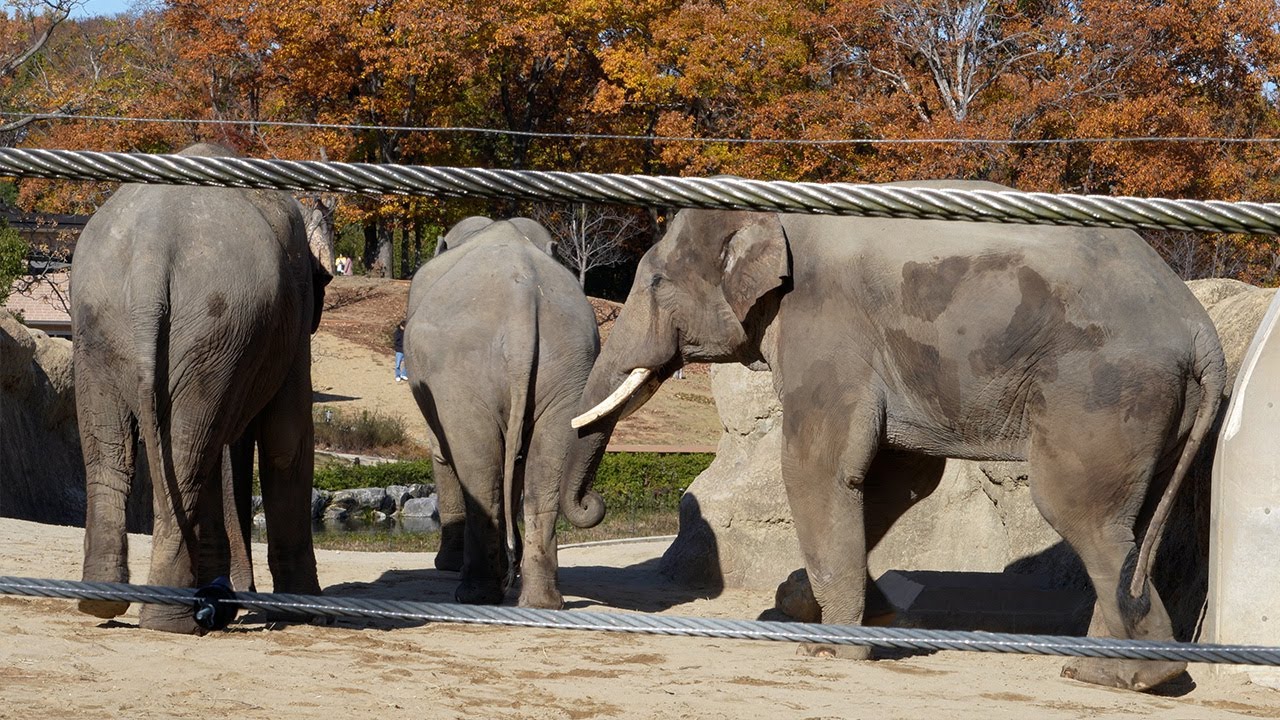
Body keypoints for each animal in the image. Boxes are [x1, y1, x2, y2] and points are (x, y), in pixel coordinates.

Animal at [71, 142, 330, 633]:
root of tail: (153, 251)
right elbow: (287, 440)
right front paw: (301, 609)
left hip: (110, 324)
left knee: (117, 451)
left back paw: (106, 604)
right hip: (211, 325)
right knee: (192, 451)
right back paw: (172, 619)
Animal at [406, 216, 608, 608]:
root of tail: (521, 299)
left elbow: (441, 453)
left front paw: (447, 565)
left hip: (462, 375)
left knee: (478, 466)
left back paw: (475, 593)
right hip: (570, 365)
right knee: (544, 464)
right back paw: (540, 600)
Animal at [573, 181, 1226, 692]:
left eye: (655, 283)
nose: (591, 505)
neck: (780, 208)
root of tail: (1200, 330)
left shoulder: (826, 328)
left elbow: (819, 468)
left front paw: (828, 649)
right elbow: (898, 478)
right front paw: (833, 609)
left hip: (1101, 390)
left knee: (1082, 512)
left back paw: (1133, 677)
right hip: (1153, 409)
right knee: (1129, 523)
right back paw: (1094, 671)